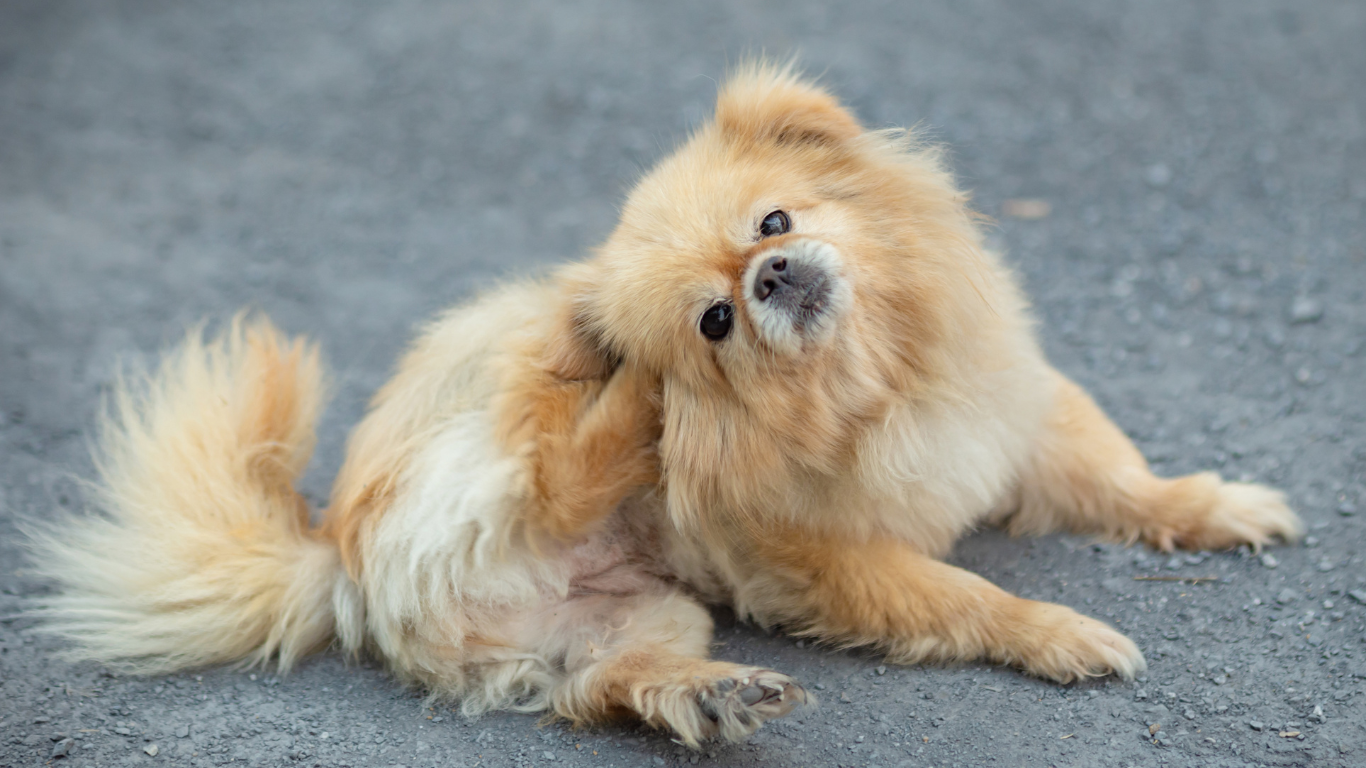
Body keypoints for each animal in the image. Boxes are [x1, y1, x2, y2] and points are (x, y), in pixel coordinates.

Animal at [26, 62, 1294, 743]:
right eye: (714, 324)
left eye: (775, 222)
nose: (771, 275)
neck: (872, 387)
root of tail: (335, 556)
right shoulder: (829, 561)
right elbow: (967, 596)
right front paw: (1064, 635)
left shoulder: (1018, 418)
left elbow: (1124, 478)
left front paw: (1215, 505)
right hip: (490, 442)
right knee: (552, 463)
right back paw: (637, 411)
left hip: (640, 616)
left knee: (604, 687)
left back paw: (709, 697)